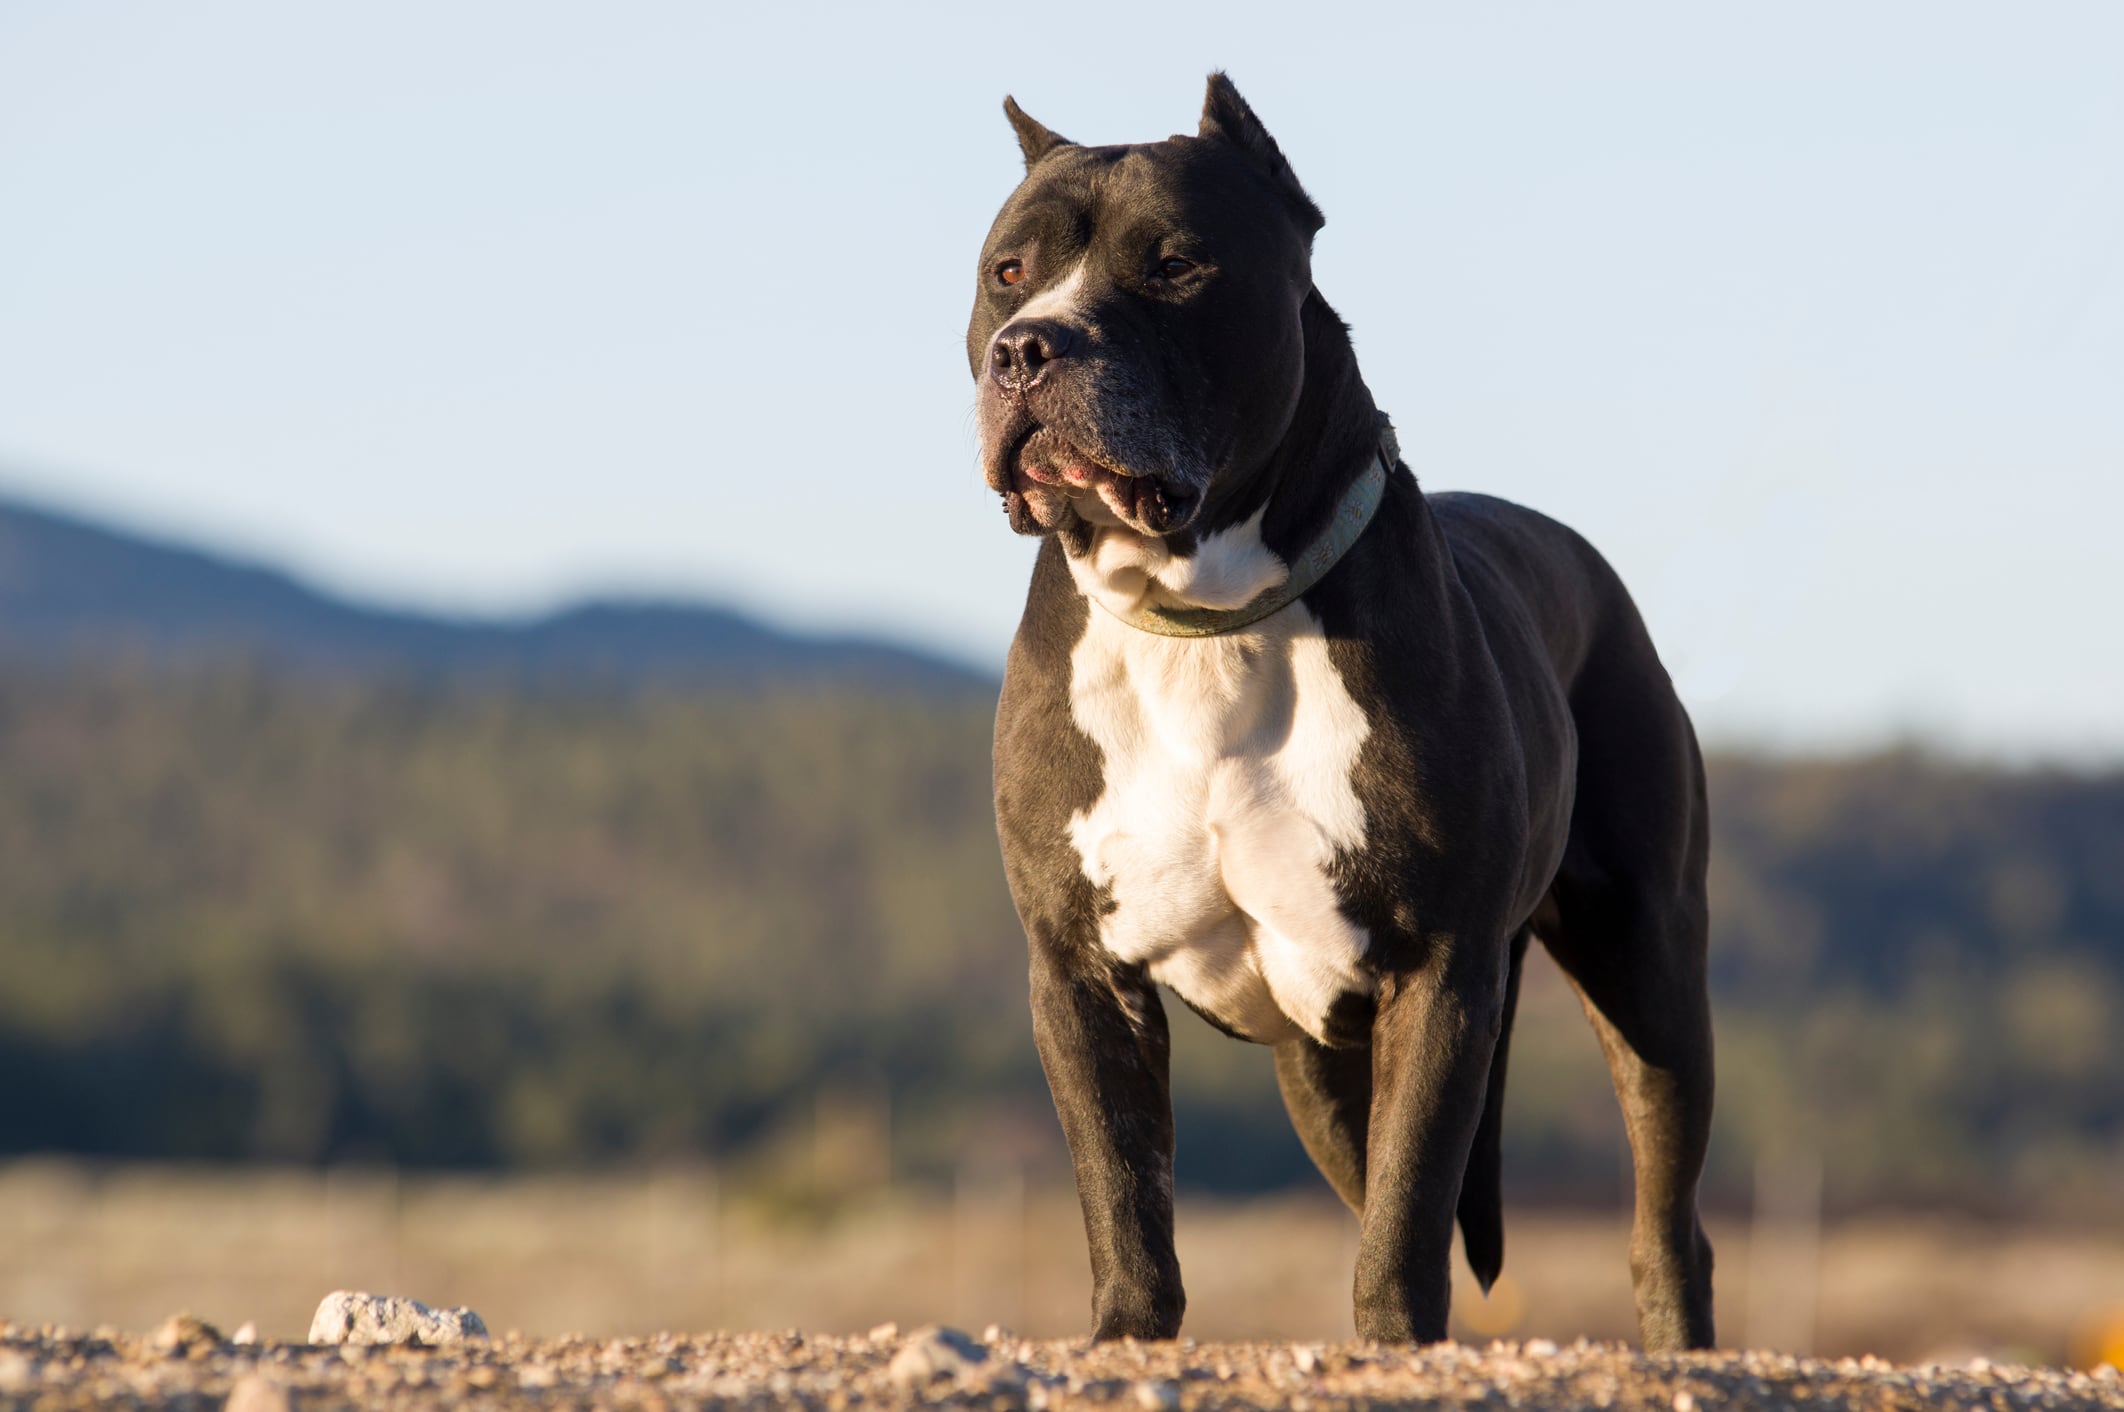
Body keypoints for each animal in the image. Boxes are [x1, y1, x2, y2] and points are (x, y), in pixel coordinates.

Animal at [972, 79, 1716, 1358]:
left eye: (1176, 264)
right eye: (1008, 272)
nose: (1031, 344)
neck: (1204, 615)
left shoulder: (1441, 968)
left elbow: (1412, 1205)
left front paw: (1397, 1341)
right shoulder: (1078, 971)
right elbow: (1125, 1188)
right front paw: (1126, 1340)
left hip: (1650, 961)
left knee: (1663, 1213)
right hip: (1320, 1062)